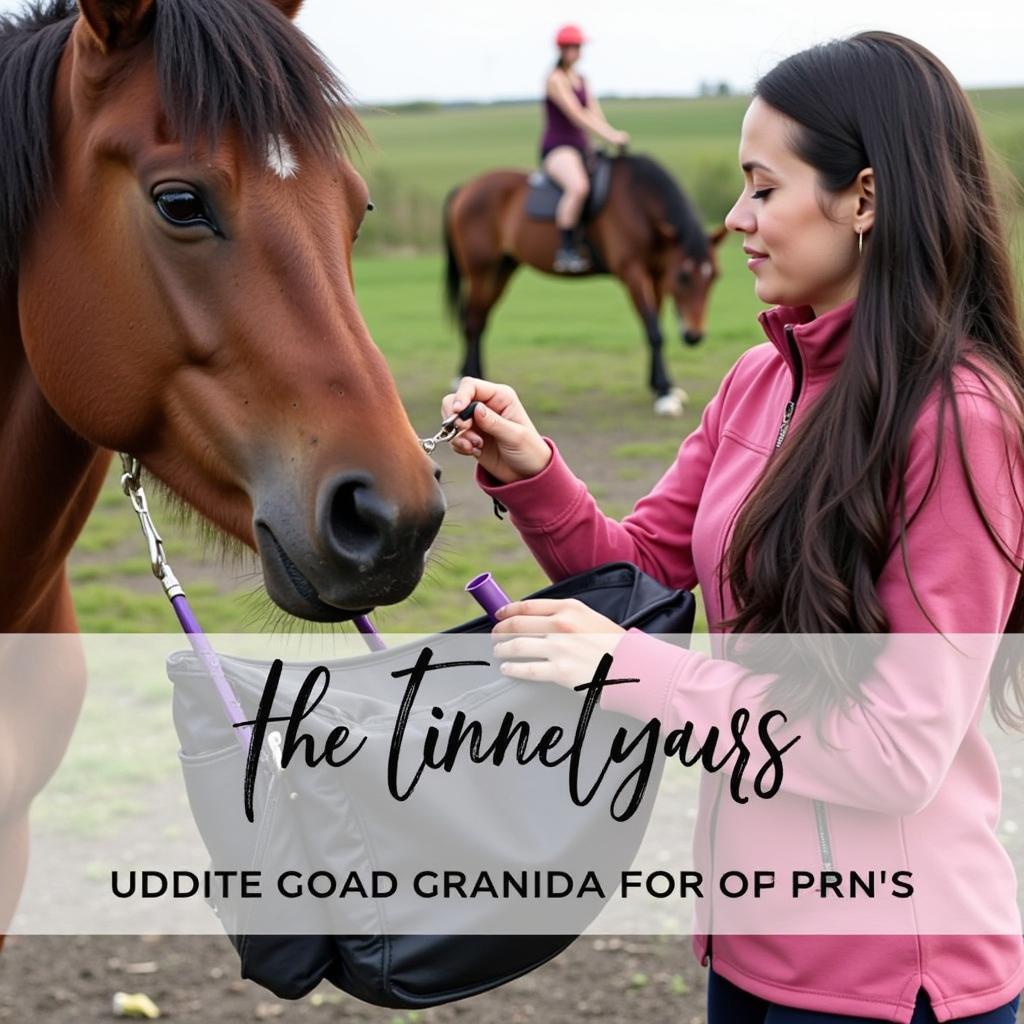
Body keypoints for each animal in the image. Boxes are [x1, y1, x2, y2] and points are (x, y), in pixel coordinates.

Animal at [442, 152, 729, 415]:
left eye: (714, 275)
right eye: (683, 276)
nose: (694, 336)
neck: (639, 203)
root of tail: (467, 187)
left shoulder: (656, 275)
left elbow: (654, 325)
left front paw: (660, 385)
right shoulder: (633, 273)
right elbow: (653, 330)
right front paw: (665, 392)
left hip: (502, 269)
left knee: (479, 319)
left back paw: (472, 378)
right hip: (481, 271)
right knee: (472, 321)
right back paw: (469, 377)